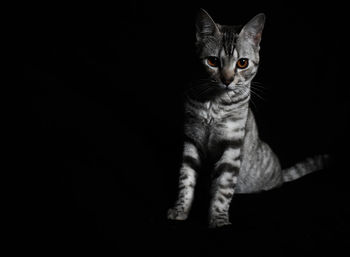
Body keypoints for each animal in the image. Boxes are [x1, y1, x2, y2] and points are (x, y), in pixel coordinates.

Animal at [166, 9, 328, 227]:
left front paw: (218, 219)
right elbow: (186, 180)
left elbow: (223, 188)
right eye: (213, 61)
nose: (227, 80)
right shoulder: (191, 140)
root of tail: (280, 175)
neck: (214, 105)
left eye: (242, 63)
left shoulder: (232, 146)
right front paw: (180, 209)